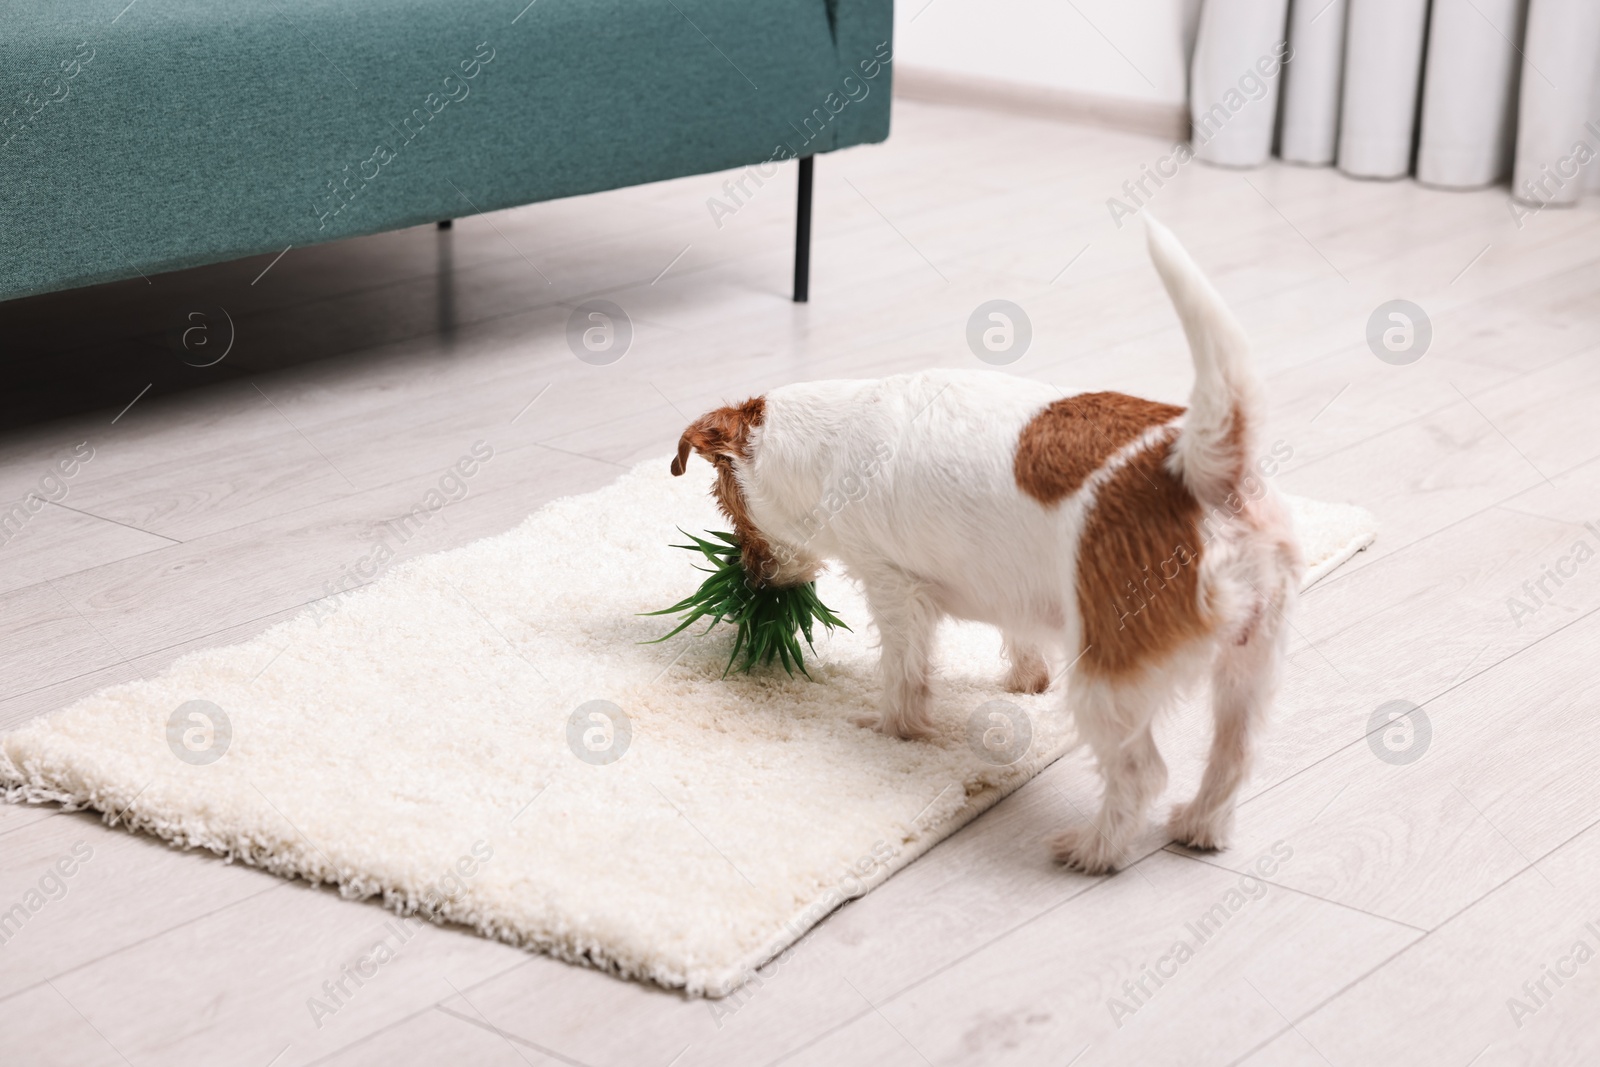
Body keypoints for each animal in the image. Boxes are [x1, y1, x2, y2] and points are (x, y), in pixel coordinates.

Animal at [668, 219, 1305, 876]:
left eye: (730, 512)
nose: (751, 579)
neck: (831, 439)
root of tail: (1197, 469)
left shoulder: (894, 589)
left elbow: (904, 674)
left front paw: (890, 728)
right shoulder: (1011, 585)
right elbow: (1020, 642)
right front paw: (1025, 683)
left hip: (1109, 678)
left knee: (1141, 773)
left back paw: (1094, 850)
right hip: (1250, 670)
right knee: (1233, 757)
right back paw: (1200, 826)